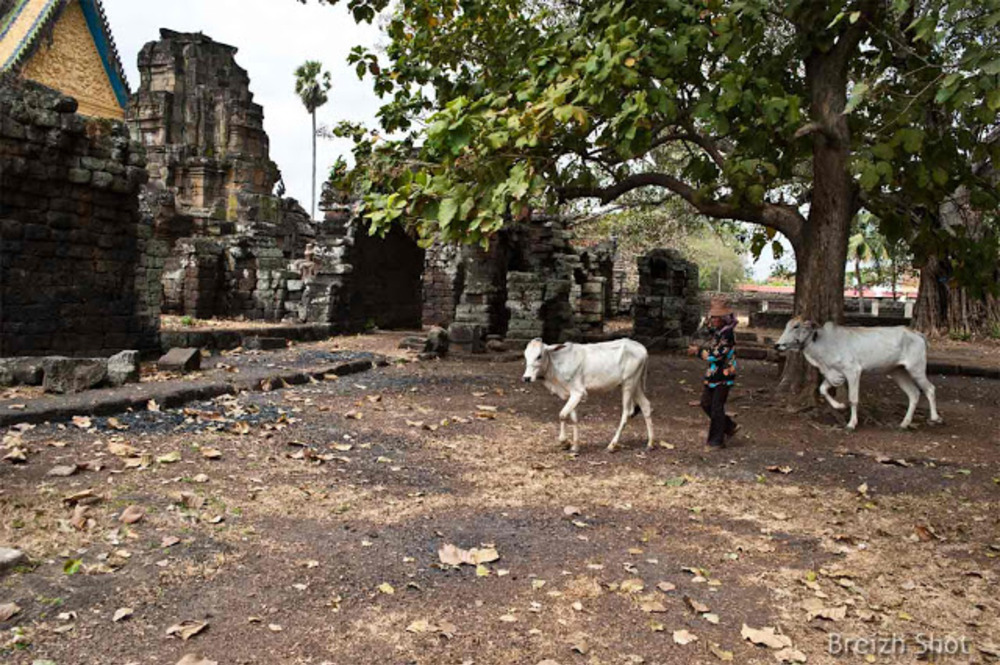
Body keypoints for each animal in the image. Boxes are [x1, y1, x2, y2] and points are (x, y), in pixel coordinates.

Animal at [524, 338, 656, 452]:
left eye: (539, 356)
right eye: (525, 356)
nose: (526, 378)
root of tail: (642, 348)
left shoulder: (579, 392)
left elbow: (562, 415)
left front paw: (564, 442)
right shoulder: (571, 394)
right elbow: (574, 418)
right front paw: (575, 447)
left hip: (629, 383)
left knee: (626, 412)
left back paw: (612, 445)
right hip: (635, 384)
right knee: (645, 405)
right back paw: (650, 443)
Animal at [776, 318, 940, 430]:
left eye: (796, 326)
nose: (777, 345)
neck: (824, 343)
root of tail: (916, 333)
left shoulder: (853, 372)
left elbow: (853, 399)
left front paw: (851, 423)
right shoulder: (835, 374)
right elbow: (822, 389)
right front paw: (839, 406)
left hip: (916, 369)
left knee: (930, 389)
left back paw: (934, 418)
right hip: (897, 371)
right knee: (914, 393)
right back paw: (904, 423)